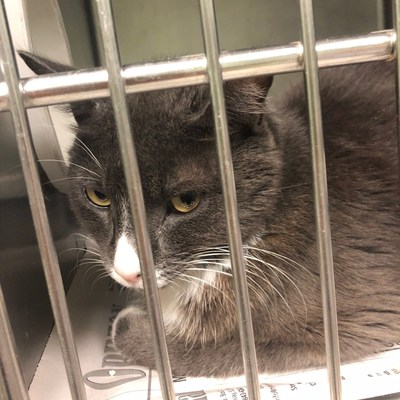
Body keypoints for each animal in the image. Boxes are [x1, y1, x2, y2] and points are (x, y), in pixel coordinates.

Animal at [21, 50, 400, 378]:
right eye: (97, 196)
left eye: (185, 201)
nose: (128, 272)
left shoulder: (354, 320)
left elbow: (231, 351)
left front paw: (129, 320)